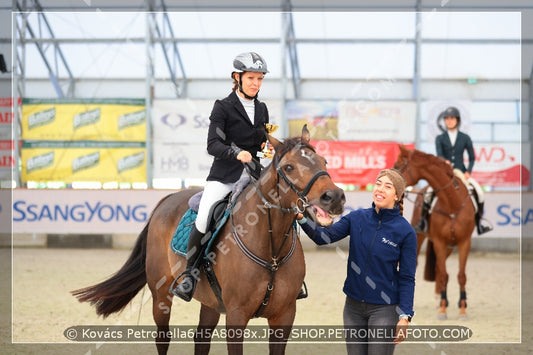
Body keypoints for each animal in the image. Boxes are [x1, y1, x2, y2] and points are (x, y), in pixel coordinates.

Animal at [70, 126, 344, 355]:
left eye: (324, 161)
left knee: (201, 339)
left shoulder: (284, 316)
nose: (334, 197)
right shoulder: (236, 316)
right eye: (289, 168)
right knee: (163, 338)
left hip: (211, 302)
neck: (271, 249)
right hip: (161, 296)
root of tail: (168, 198)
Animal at [392, 145, 476, 320]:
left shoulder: (464, 243)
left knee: (438, 268)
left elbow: (461, 276)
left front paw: (462, 310)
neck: (451, 202)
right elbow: (444, 275)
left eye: (397, 165)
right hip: (420, 236)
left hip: (450, 246)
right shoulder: (439, 242)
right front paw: (443, 311)